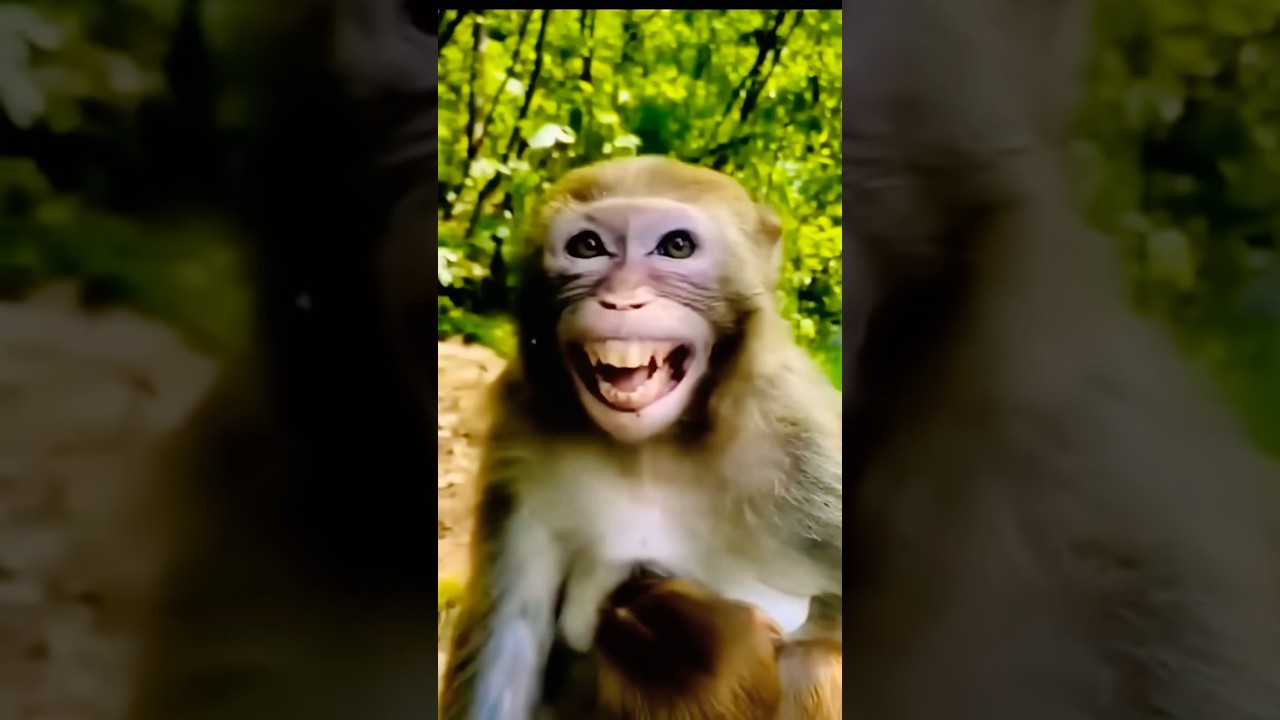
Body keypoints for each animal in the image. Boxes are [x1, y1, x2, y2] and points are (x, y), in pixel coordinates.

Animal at [439, 155, 843, 719]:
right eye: (587, 246)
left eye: (676, 246)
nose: (621, 300)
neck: (653, 447)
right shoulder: (520, 437)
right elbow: (510, 643)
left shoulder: (807, 449)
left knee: (816, 660)